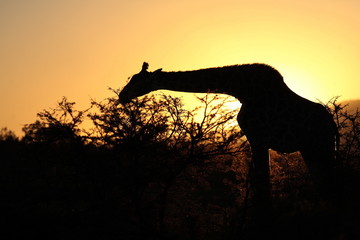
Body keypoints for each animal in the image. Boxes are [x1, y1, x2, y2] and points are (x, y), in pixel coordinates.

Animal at [119, 61, 338, 216]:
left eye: (137, 80)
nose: (121, 95)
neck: (239, 88)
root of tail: (333, 128)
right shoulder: (257, 140)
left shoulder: (258, 138)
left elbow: (263, 186)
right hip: (311, 151)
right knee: (324, 188)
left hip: (321, 149)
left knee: (330, 188)